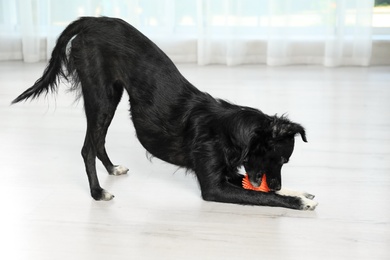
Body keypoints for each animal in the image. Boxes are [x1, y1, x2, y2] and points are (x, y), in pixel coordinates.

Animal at [12, 17, 316, 210]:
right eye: (281, 159)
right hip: (100, 96)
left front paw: (298, 191)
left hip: (111, 96)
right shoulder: (213, 187)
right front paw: (297, 200)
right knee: (88, 147)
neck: (229, 131)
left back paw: (112, 169)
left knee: (98, 142)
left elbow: (254, 188)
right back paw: (97, 193)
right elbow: (262, 197)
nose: (275, 185)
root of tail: (93, 20)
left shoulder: (228, 173)